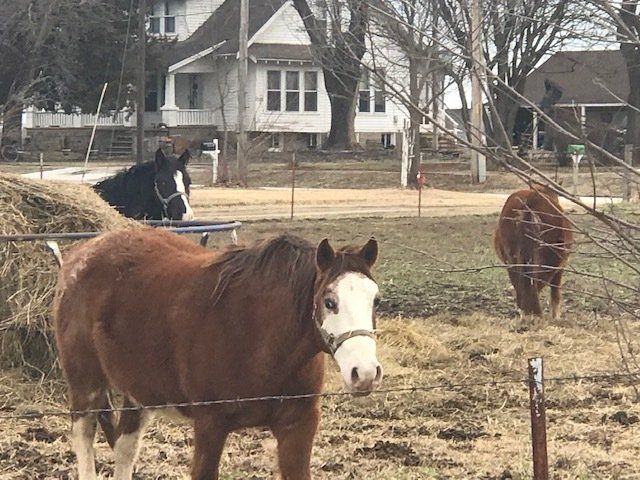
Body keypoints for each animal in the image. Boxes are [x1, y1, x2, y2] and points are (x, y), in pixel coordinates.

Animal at [53, 230, 383, 479]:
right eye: (330, 301)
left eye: (376, 300)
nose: (365, 373)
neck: (261, 338)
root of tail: (79, 255)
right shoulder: (210, 425)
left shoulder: (298, 425)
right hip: (86, 385)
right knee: (84, 440)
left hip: (139, 392)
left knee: (125, 447)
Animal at [494, 184, 573, 321]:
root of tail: (531, 200)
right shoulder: (560, 268)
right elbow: (555, 294)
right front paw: (556, 317)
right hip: (549, 261)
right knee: (535, 286)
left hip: (512, 260)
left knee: (521, 288)